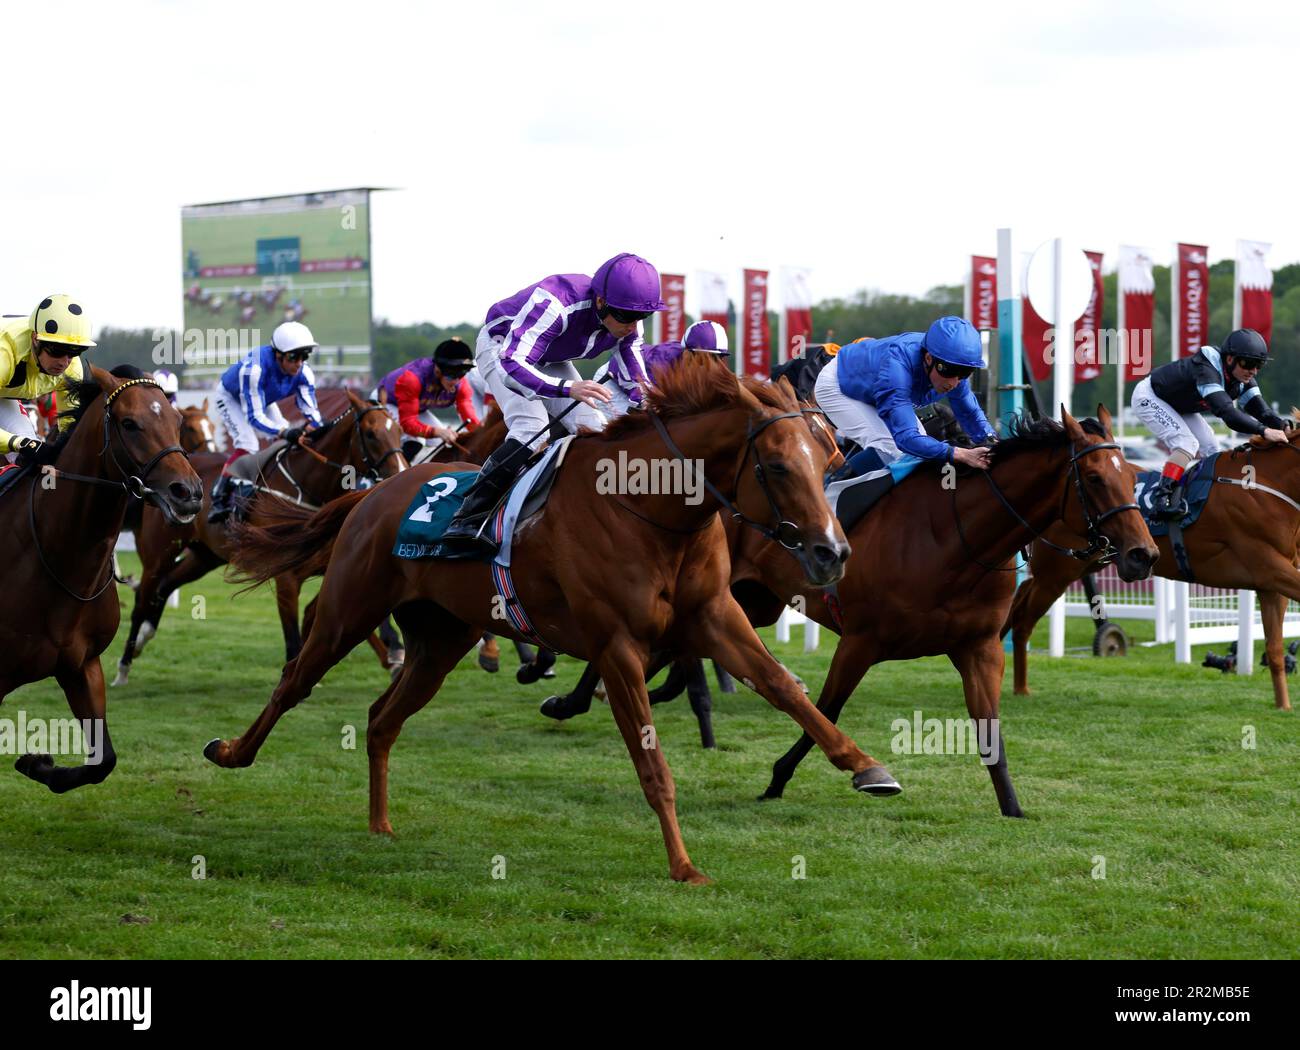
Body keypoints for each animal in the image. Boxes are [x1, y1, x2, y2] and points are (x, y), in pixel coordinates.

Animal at [0, 369, 201, 790]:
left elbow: (102, 761)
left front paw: (37, 764)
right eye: (129, 423)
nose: (189, 493)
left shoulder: (82, 665)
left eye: (177, 421)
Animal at [114, 389, 403, 686]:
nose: (401, 472)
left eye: (399, 429)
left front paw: (393, 653)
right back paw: (123, 666)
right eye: (371, 434)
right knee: (142, 600)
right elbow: (293, 639)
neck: (308, 489)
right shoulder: (287, 578)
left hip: (205, 556)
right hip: (158, 555)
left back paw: (145, 636)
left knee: (166, 585)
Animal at [205, 356, 894, 883]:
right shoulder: (616, 647)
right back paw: (231, 750)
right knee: (295, 679)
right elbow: (653, 765)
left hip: (441, 640)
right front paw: (683, 865)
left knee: (381, 718)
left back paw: (380, 822)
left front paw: (867, 767)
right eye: (777, 465)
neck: (649, 507)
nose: (833, 552)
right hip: (350, 608)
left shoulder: (714, 617)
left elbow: (783, 687)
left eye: (831, 459)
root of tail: (373, 493)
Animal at [1003, 426, 1300, 712]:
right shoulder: (1268, 568)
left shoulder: (1270, 583)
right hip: (1056, 574)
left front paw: (1283, 705)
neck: (1263, 487)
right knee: (1021, 619)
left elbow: (1274, 649)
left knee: (1017, 598)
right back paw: (1018, 686)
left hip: (1074, 567)